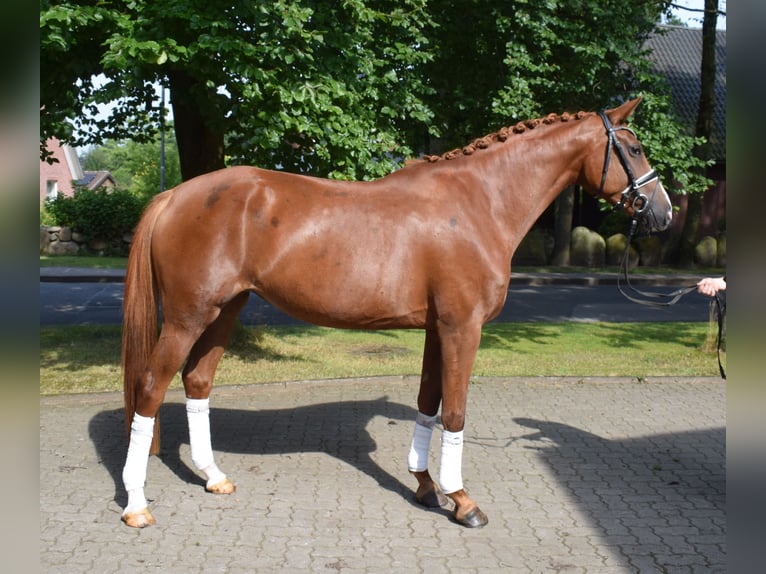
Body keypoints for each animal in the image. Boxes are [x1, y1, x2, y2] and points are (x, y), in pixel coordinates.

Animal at [118, 98, 672, 532]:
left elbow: (429, 403)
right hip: (188, 317)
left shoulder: (436, 329)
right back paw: (137, 504)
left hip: (224, 311)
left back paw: (213, 477)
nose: (662, 213)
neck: (479, 203)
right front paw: (462, 500)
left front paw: (425, 486)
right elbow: (455, 411)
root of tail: (175, 194)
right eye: (635, 149)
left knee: (197, 383)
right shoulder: (462, 328)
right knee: (150, 387)